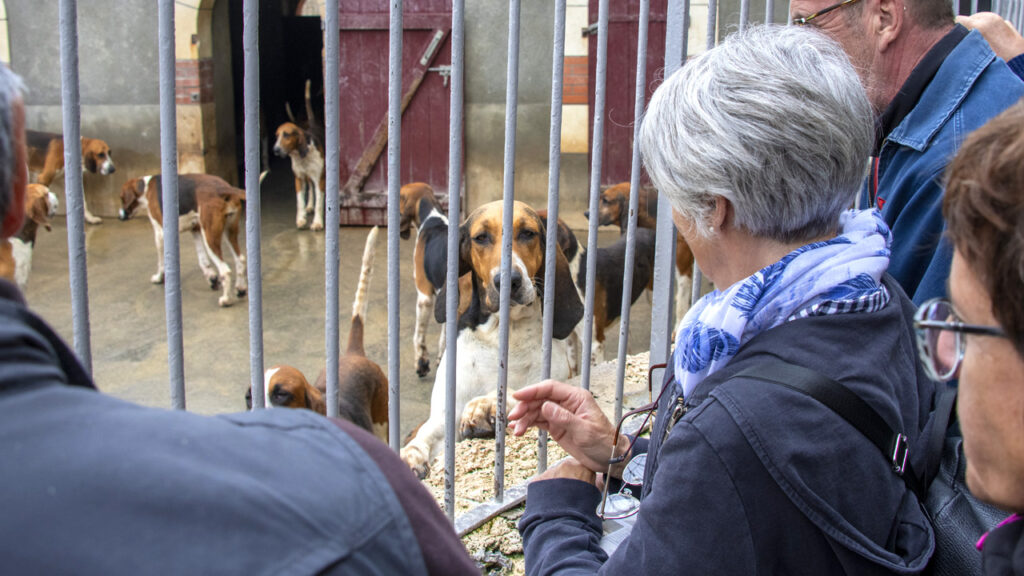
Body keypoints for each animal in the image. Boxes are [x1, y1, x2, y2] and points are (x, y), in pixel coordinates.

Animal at [118, 171, 246, 305]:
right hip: (228, 232)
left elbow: (161, 263)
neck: (145, 188)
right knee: (240, 259)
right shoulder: (195, 229)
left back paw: (226, 299)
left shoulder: (160, 234)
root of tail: (223, 188)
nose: (120, 217)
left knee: (225, 270)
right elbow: (203, 260)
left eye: (121, 198)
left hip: (210, 236)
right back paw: (241, 289)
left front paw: (159, 278)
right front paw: (211, 277)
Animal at [397, 199, 585, 477]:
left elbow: (520, 393)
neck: (502, 336)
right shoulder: (444, 418)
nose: (509, 280)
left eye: (527, 233)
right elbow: (425, 435)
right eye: (481, 237)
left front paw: (485, 405)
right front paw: (409, 454)